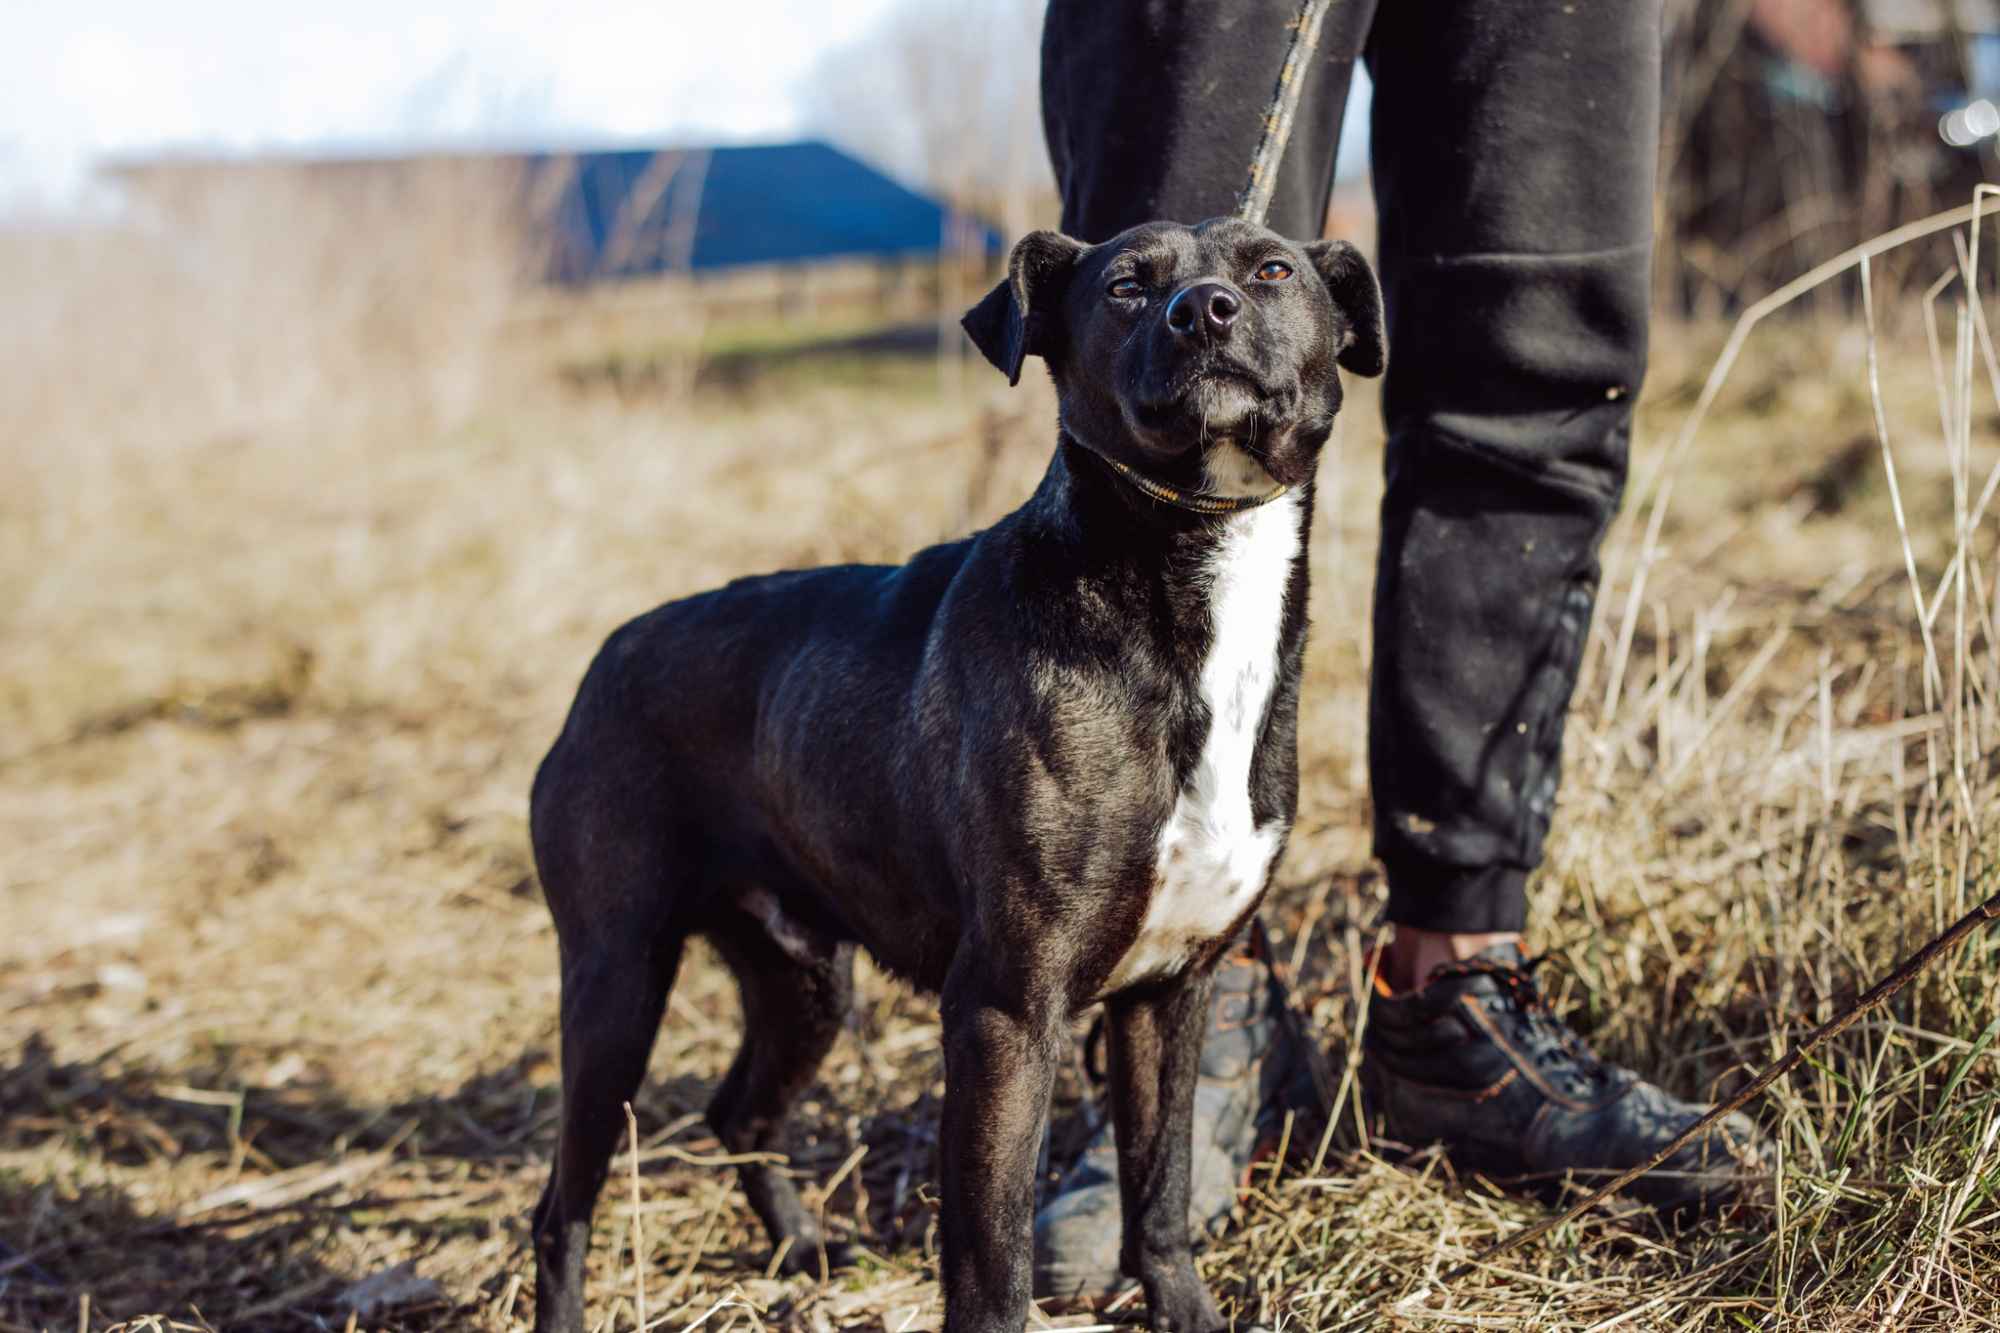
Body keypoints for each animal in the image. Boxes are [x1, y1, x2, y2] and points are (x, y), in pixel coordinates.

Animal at [524, 218, 1384, 1328]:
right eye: (1123, 286)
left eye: (1271, 269)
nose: (1203, 311)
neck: (1189, 569)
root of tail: (605, 659)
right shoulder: (1004, 1008)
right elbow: (991, 1258)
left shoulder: (1169, 993)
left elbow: (1158, 1194)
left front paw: (1185, 1311)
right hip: (616, 983)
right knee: (562, 1208)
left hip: (805, 979)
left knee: (736, 1112)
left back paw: (804, 1245)